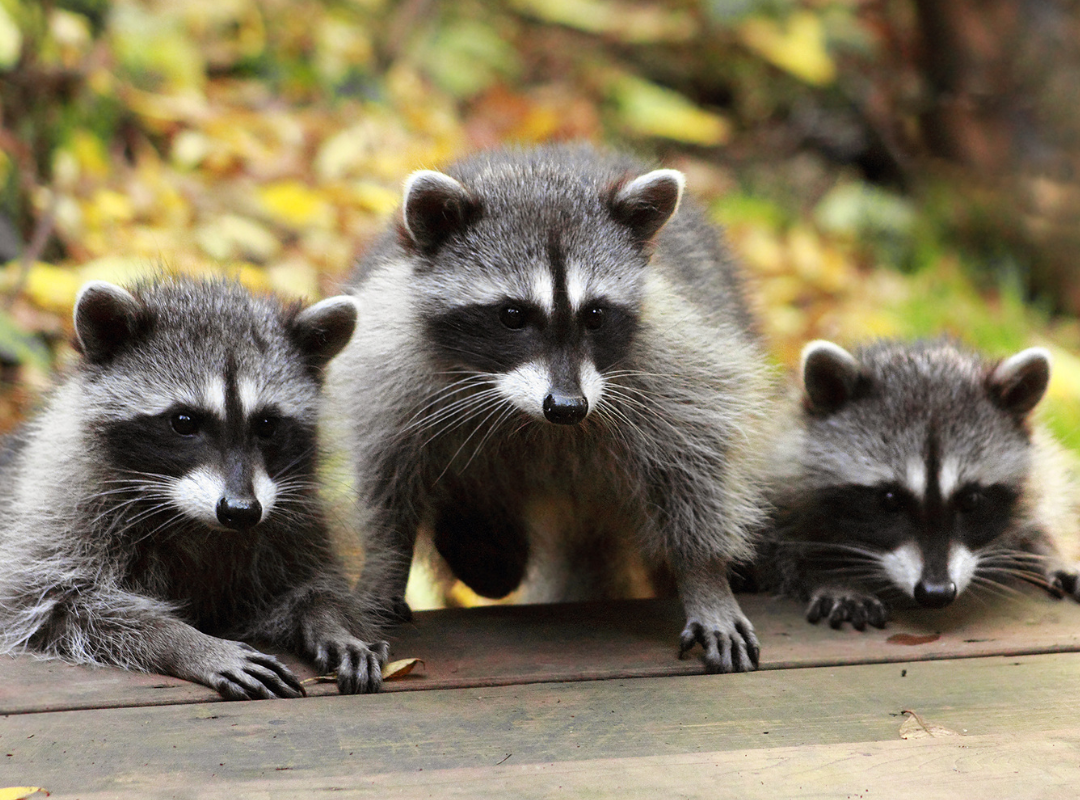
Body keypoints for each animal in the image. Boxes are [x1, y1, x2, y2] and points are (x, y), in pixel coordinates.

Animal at [0, 278, 393, 695]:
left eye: (267, 425)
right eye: (184, 422)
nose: (241, 511)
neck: (194, 520)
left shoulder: (292, 524)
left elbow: (307, 587)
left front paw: (330, 621)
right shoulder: (65, 511)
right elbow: (55, 602)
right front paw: (186, 642)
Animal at [760, 334, 1080, 626]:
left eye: (971, 500)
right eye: (889, 500)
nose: (936, 593)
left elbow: (1039, 509)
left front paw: (1053, 552)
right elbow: (781, 549)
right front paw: (832, 576)